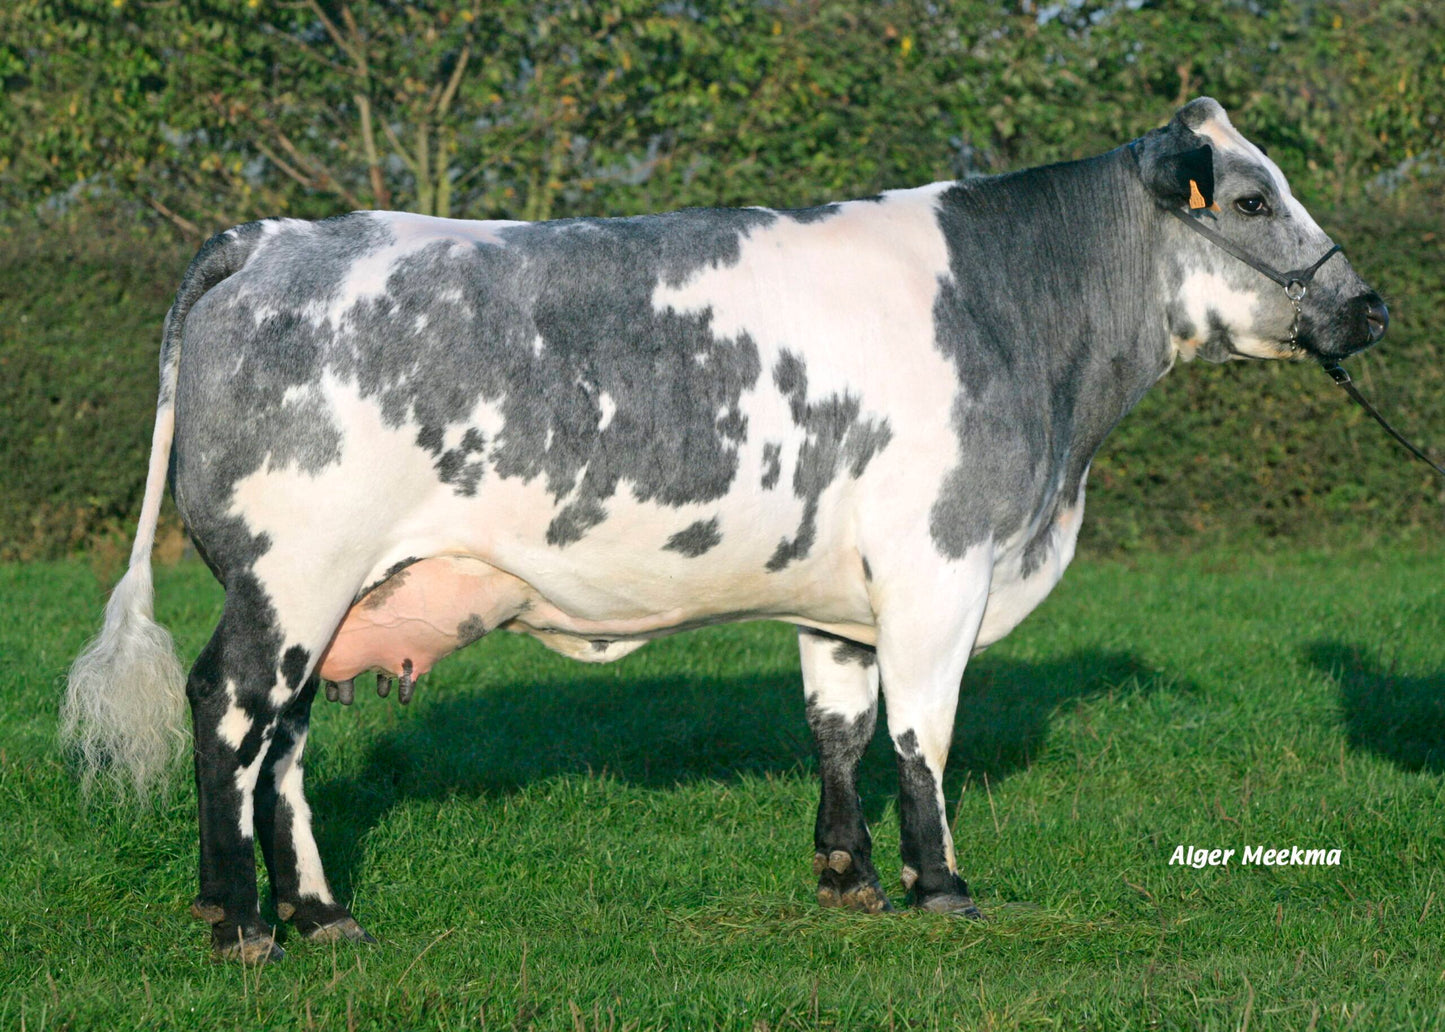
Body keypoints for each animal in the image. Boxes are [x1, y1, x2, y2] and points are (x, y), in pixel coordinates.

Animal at [63, 98, 1387, 962]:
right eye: (1251, 197)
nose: (1367, 307)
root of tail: (275, 236)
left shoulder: (846, 593)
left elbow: (838, 725)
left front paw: (849, 876)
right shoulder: (938, 563)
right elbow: (923, 735)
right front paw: (943, 888)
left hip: (328, 594)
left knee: (281, 744)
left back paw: (325, 915)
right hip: (289, 575)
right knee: (229, 717)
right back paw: (240, 922)